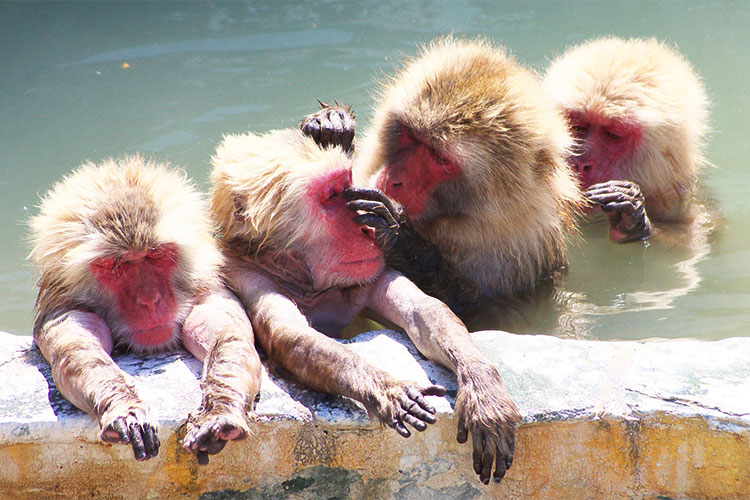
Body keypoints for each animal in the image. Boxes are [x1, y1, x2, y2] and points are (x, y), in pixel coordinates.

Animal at [27, 157, 262, 464]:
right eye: (117, 266)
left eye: (156, 255)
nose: (149, 300)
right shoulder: (63, 308)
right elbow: (77, 352)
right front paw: (124, 408)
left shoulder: (208, 291)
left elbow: (230, 339)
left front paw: (220, 411)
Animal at [209, 128, 520, 484]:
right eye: (331, 196)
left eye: (347, 189)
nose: (362, 228)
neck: (307, 278)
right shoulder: (246, 278)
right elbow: (291, 335)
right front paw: (386, 390)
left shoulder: (370, 267)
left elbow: (423, 310)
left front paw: (483, 389)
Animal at [300, 37, 580, 314]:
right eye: (410, 134)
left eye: (440, 157)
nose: (395, 179)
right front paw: (331, 128)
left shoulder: (518, 260)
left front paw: (399, 236)